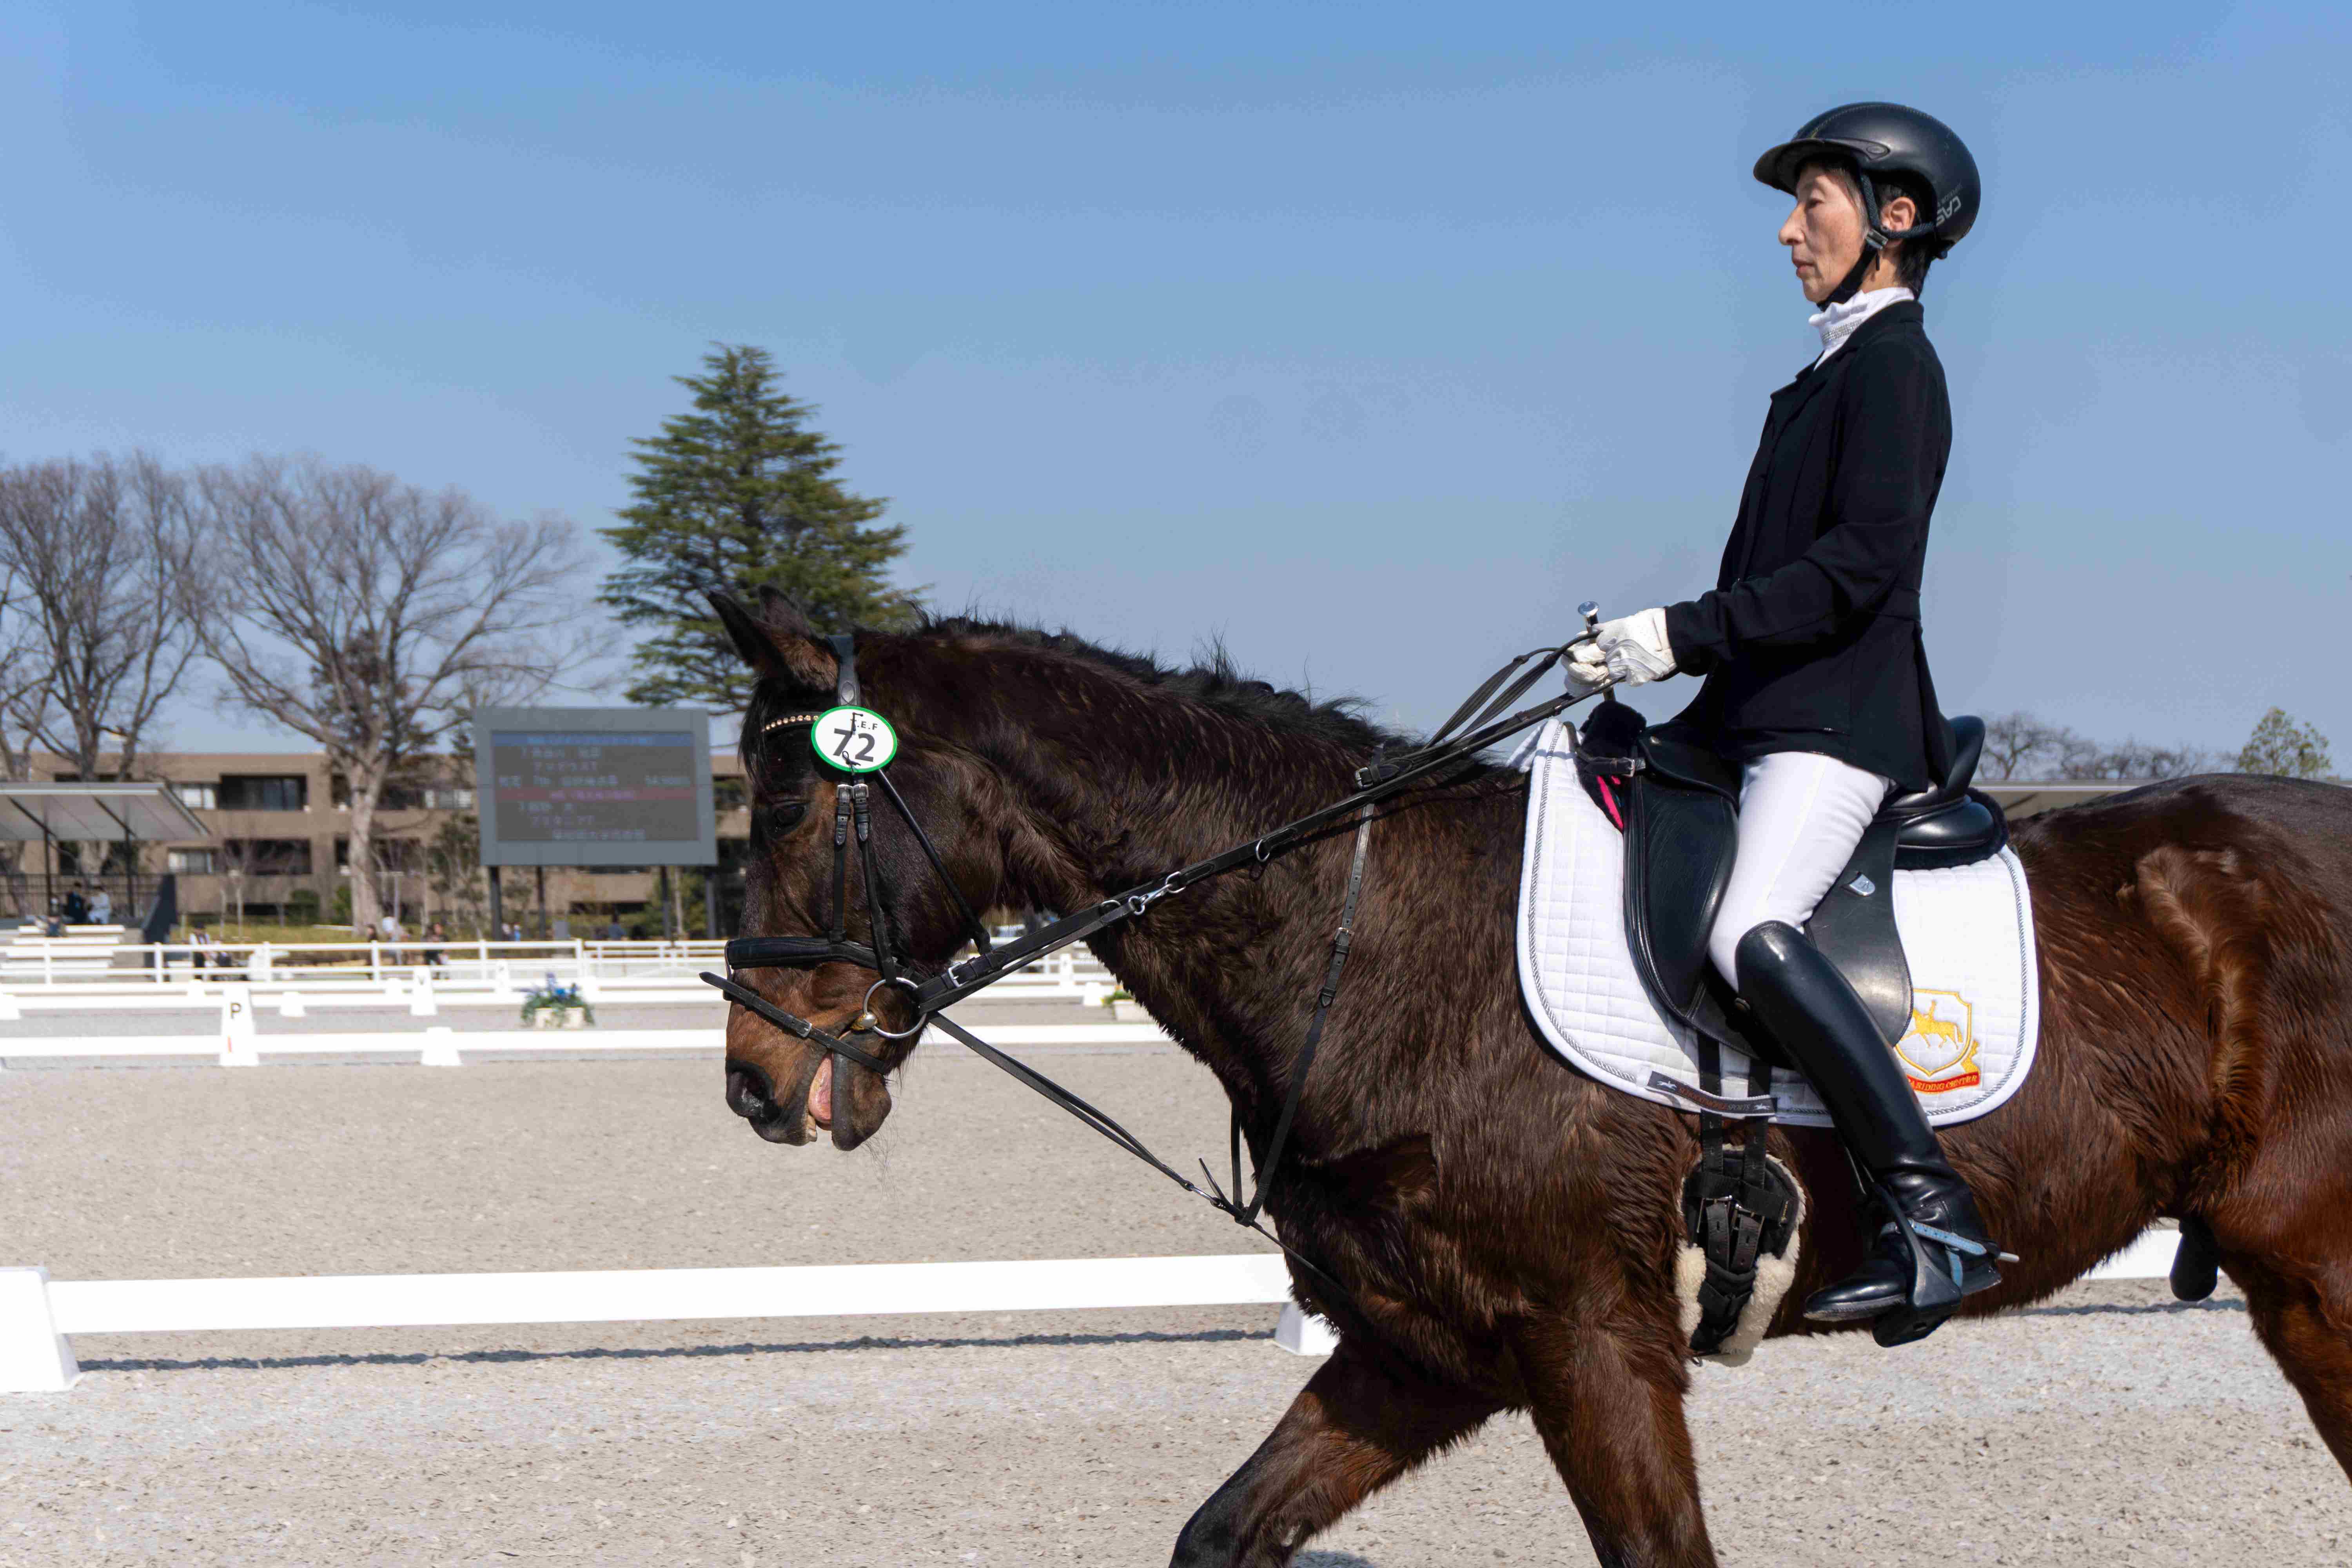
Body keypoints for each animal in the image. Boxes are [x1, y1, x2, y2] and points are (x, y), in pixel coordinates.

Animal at [709, 590, 2352, 1568]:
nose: (754, 1080)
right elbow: (1221, 1532)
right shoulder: (1421, 1349)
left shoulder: (1593, 1342)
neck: (1368, 934)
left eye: (785, 805)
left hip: (2314, 1276)